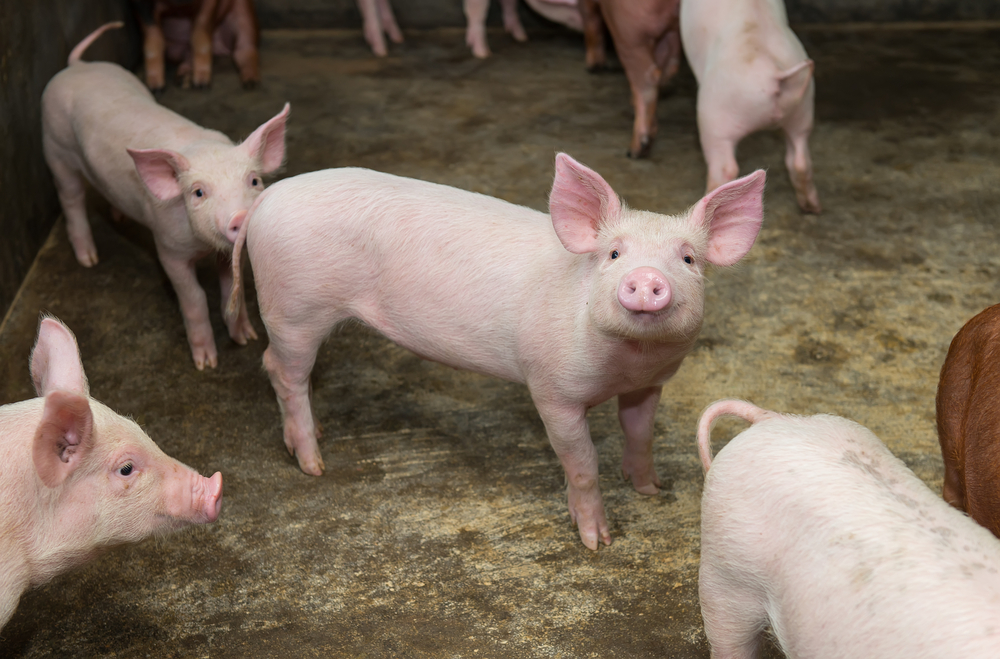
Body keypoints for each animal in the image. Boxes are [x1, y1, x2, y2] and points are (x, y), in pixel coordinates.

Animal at [229, 156, 764, 552]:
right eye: (613, 254)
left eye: (688, 259)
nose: (649, 278)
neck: (628, 363)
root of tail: (265, 200)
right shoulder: (552, 390)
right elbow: (583, 462)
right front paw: (598, 542)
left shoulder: (650, 383)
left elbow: (640, 434)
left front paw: (651, 489)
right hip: (293, 309)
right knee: (280, 369)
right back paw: (313, 463)